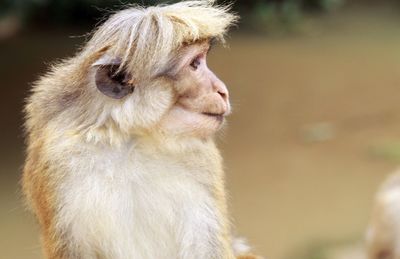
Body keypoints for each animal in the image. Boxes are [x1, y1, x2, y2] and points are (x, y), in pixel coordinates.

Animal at [23, 1, 264, 258]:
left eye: (202, 59)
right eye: (194, 64)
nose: (222, 91)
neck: (133, 137)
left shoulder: (199, 159)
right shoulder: (57, 162)